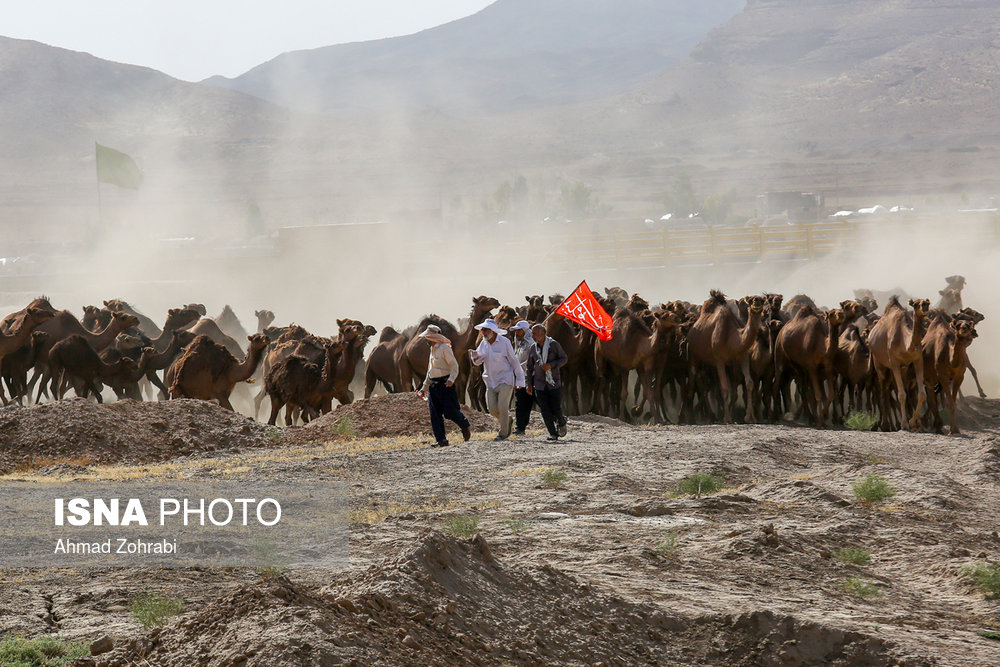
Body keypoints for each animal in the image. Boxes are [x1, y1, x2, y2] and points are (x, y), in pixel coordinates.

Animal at [688, 292, 764, 422]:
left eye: (762, 300)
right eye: (750, 300)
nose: (757, 300)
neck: (731, 337)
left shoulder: (742, 356)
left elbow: (749, 383)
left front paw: (749, 417)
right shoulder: (719, 360)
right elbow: (724, 389)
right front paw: (727, 418)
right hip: (694, 356)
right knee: (695, 380)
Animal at [868, 298, 928, 434]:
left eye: (927, 302)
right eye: (916, 304)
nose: (925, 306)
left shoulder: (917, 360)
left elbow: (921, 394)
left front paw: (913, 422)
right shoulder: (894, 362)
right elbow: (901, 395)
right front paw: (905, 424)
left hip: (898, 368)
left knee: (893, 389)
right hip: (879, 363)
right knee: (883, 390)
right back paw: (885, 425)